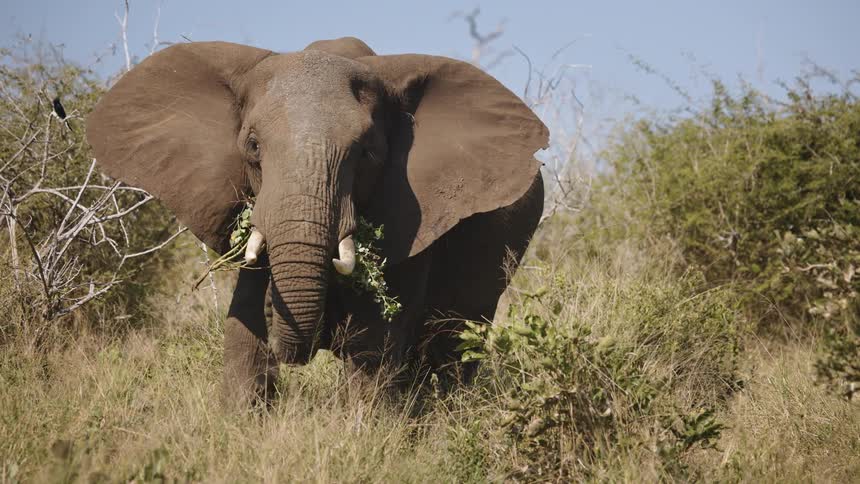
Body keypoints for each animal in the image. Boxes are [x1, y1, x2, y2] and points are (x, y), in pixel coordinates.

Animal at [86, 37, 548, 406]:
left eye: (366, 153)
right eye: (253, 146)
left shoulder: (412, 219)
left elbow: (374, 344)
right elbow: (243, 330)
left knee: (451, 348)